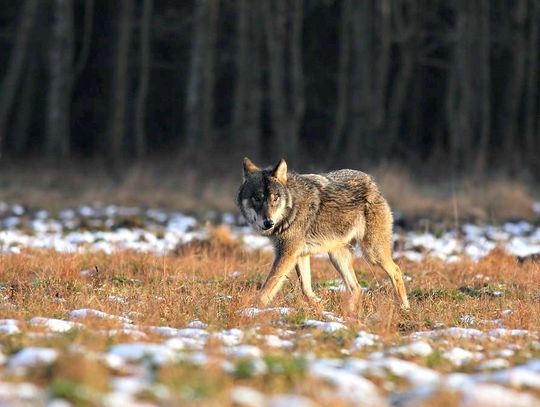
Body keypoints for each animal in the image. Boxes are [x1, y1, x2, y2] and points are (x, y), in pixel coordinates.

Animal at [235, 158, 410, 310]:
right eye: (257, 198)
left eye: (275, 198)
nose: (269, 223)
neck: (292, 208)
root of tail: (372, 183)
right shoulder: (299, 255)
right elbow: (305, 289)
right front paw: (319, 304)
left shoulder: (287, 254)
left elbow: (267, 287)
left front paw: (252, 310)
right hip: (337, 257)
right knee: (357, 288)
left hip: (372, 253)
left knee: (396, 270)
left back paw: (404, 307)